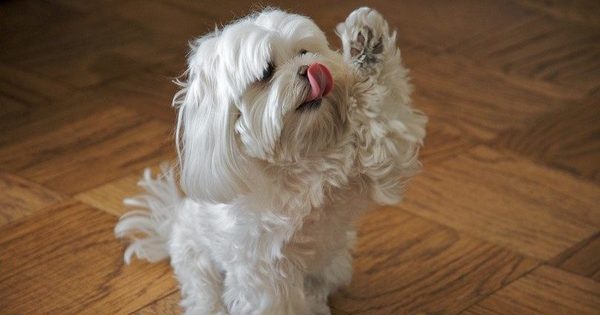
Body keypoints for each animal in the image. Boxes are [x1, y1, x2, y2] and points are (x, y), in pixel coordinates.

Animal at [116, 7, 426, 315]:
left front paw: (366, 42)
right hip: (199, 263)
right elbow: (276, 300)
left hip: (334, 263)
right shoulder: (265, 271)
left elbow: (382, 114)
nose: (310, 67)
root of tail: (172, 226)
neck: (299, 157)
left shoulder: (381, 155)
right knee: (204, 294)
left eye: (304, 51)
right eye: (266, 72)